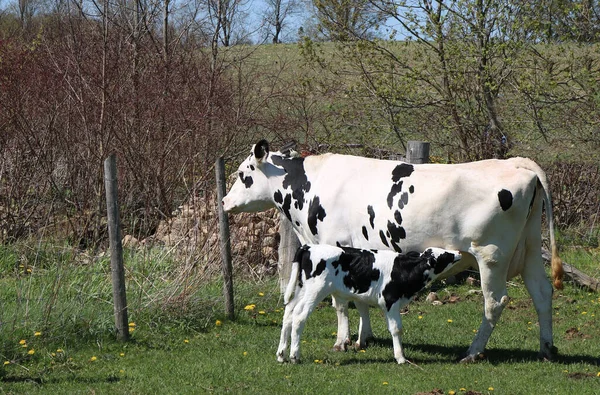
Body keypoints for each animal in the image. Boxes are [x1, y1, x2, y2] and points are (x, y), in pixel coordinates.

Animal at [276, 244, 460, 366]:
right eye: (446, 255)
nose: (458, 252)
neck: (403, 271)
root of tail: (308, 247)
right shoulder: (390, 301)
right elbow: (396, 329)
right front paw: (400, 358)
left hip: (302, 289)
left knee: (288, 313)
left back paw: (281, 354)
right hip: (316, 290)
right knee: (299, 317)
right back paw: (294, 356)